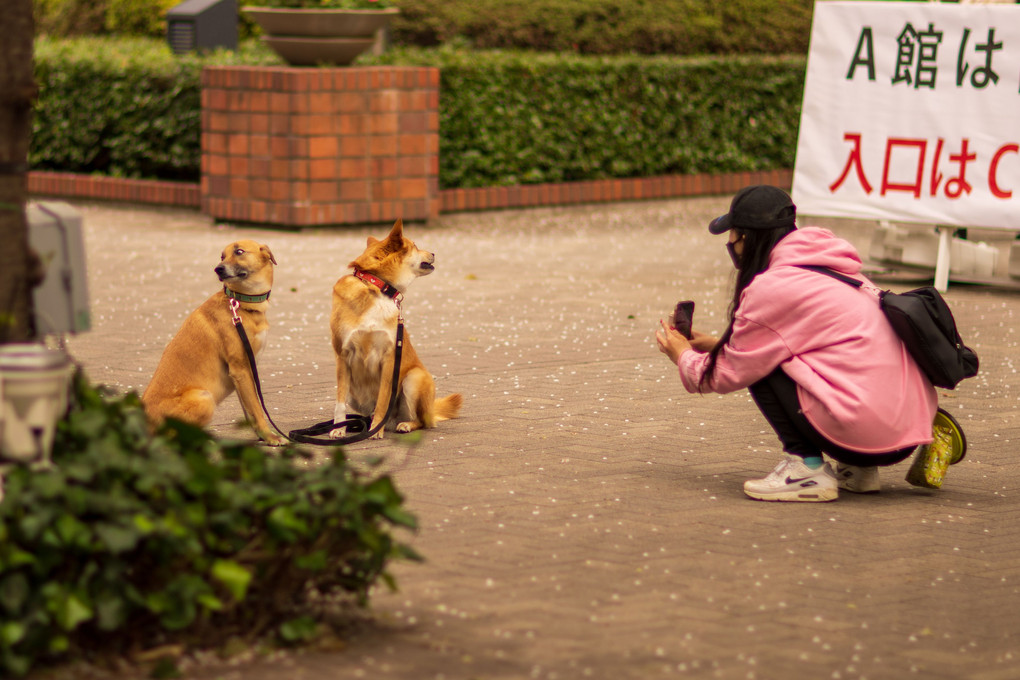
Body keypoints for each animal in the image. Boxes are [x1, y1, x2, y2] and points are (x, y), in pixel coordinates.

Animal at [137, 240, 285, 446]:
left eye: (239, 252)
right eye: (222, 256)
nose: (218, 269)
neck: (240, 304)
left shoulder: (242, 373)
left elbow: (249, 411)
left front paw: (261, 436)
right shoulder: (240, 368)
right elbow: (257, 408)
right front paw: (270, 436)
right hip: (204, 398)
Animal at [330, 221, 463, 438]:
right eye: (415, 245)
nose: (433, 253)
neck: (376, 289)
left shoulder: (390, 359)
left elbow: (383, 399)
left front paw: (376, 430)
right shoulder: (342, 355)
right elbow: (339, 403)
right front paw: (339, 429)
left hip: (413, 379)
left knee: (422, 421)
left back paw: (404, 424)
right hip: (354, 395)